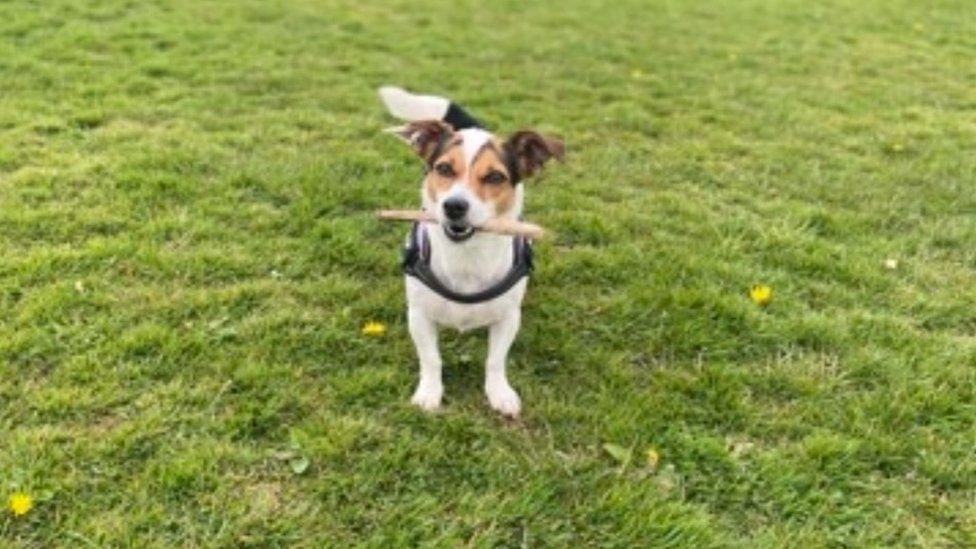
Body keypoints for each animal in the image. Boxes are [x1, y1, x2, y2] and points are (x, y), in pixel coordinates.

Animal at [382, 84, 564, 416]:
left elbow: (495, 360)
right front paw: (429, 392)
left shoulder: (508, 317)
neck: (466, 255)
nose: (454, 206)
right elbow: (431, 358)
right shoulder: (419, 315)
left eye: (495, 177)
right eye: (443, 169)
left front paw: (499, 392)